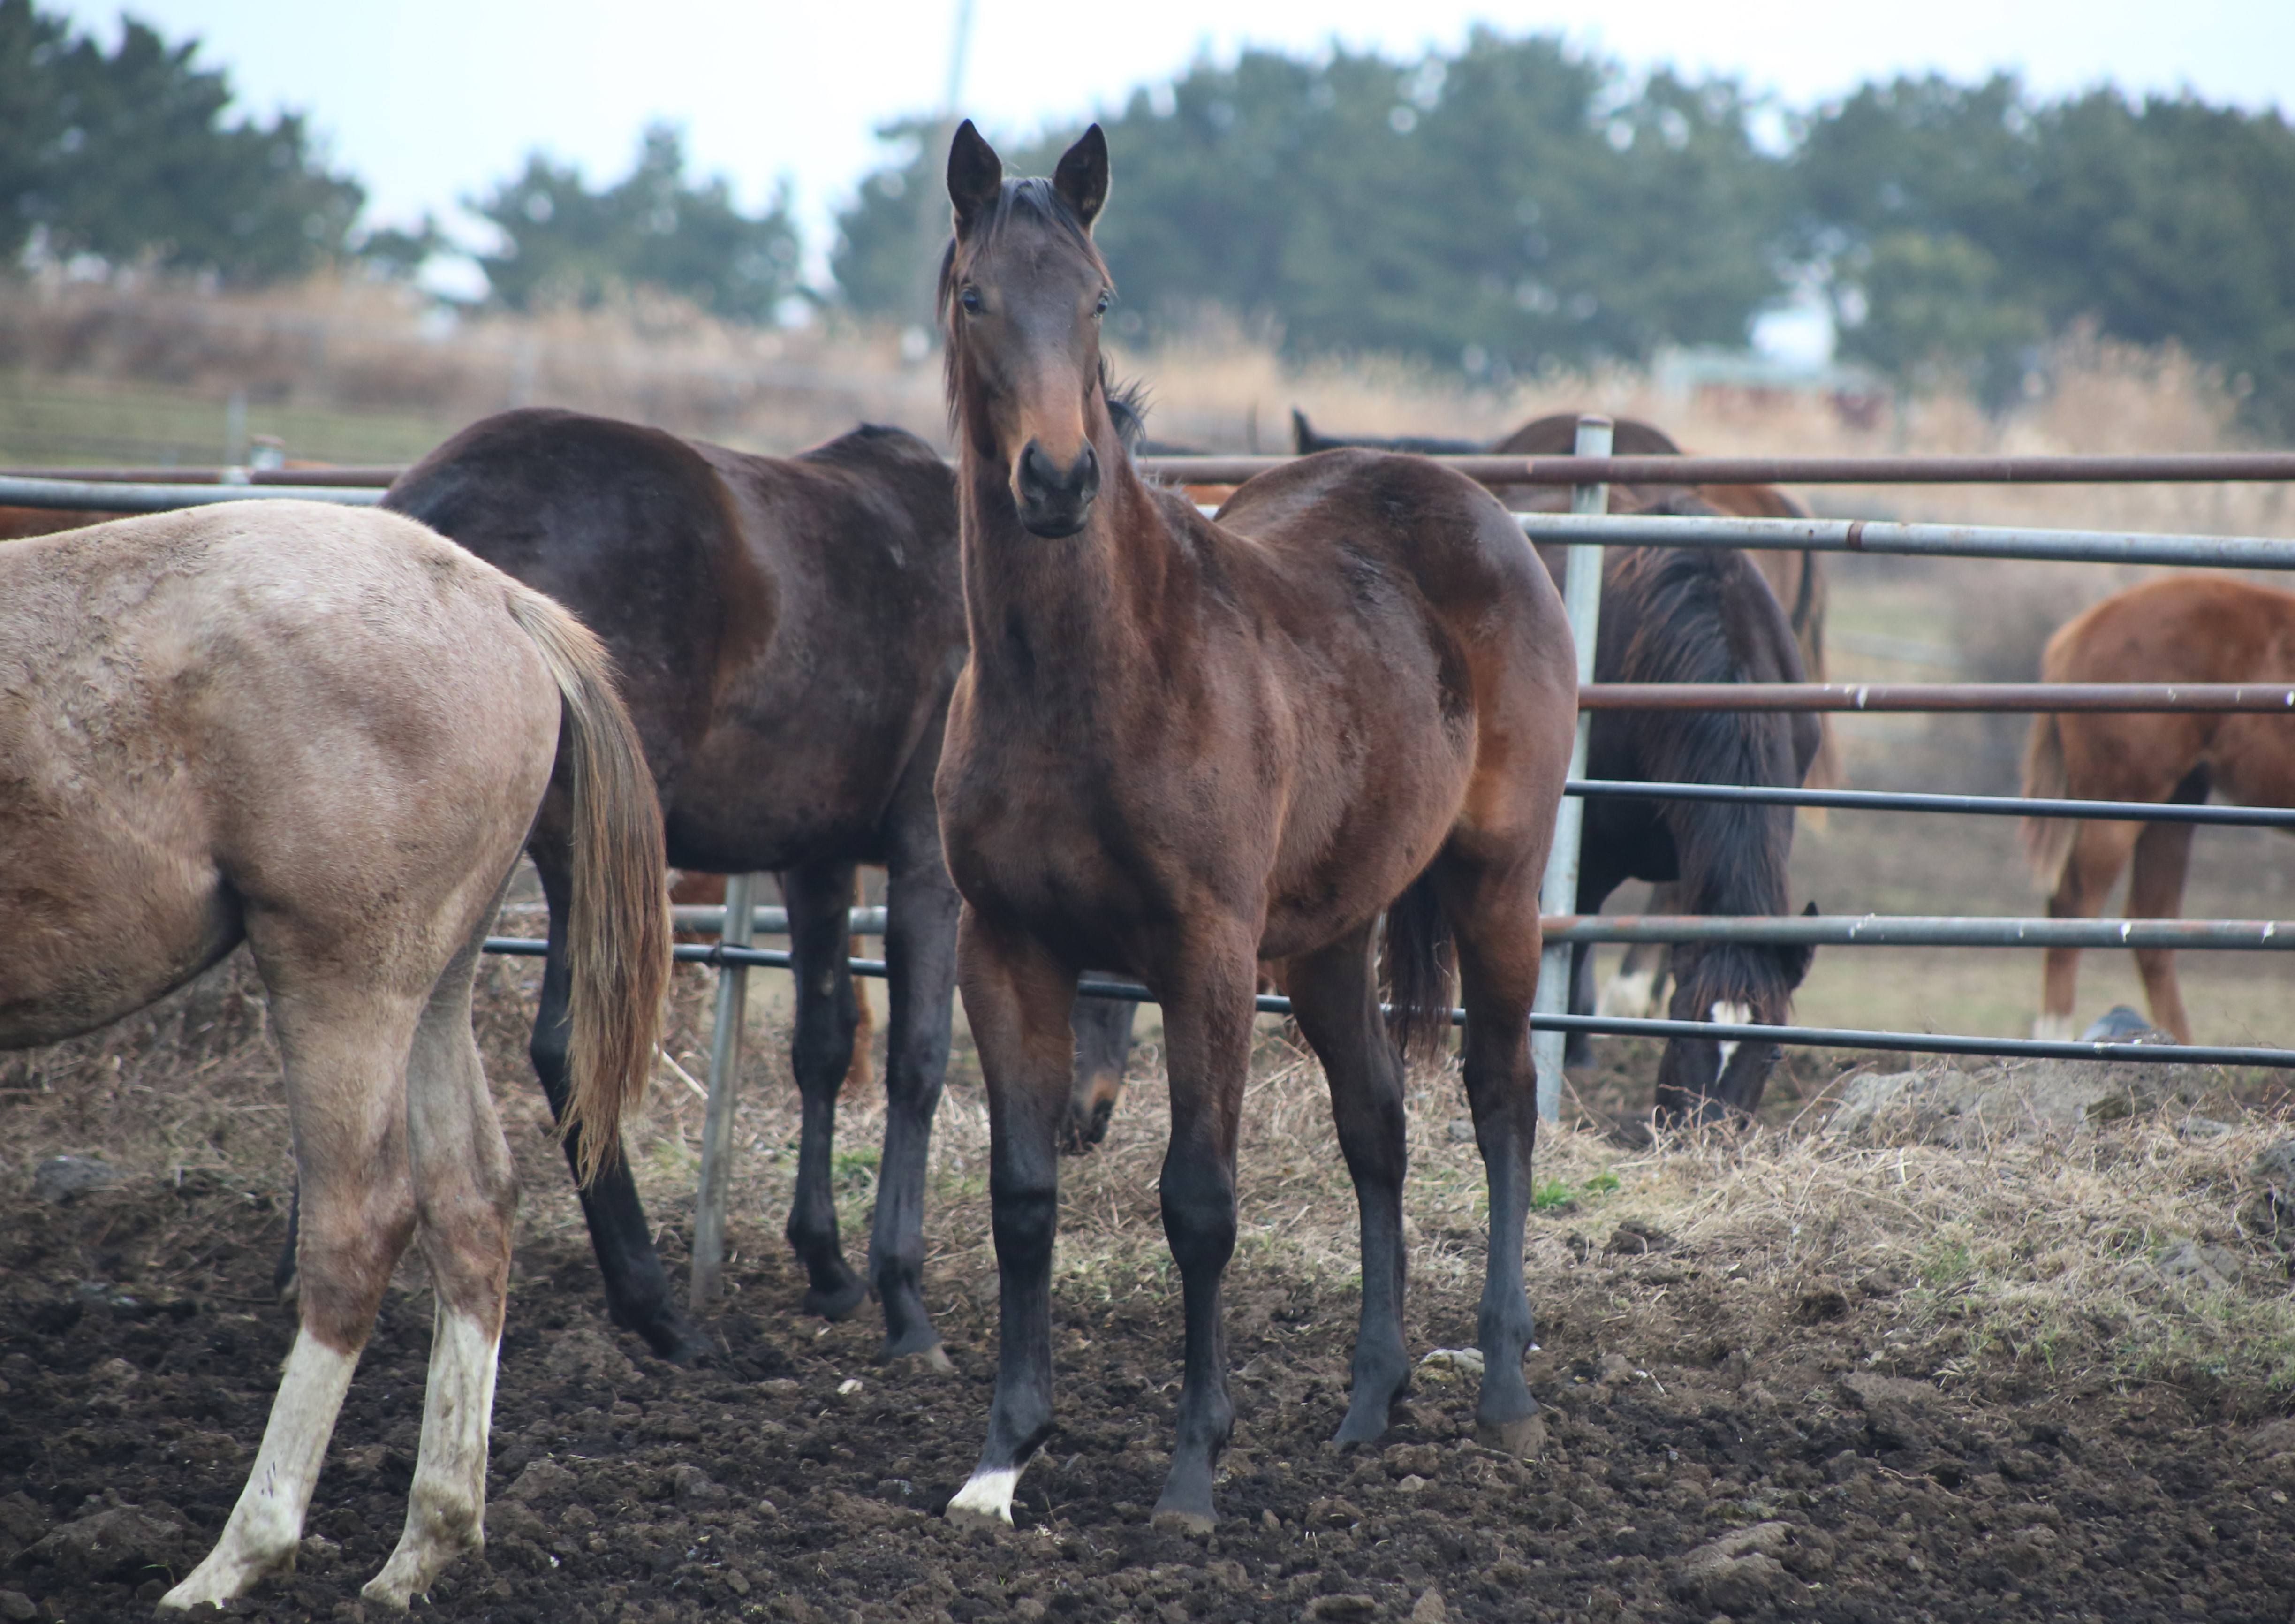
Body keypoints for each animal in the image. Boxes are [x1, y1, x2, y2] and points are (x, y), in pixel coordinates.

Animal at [0, 504, 670, 1615]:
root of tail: (502, 601)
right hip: (434, 988)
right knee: (472, 1200)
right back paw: (424, 1544)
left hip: (341, 983)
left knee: (360, 1225)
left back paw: (240, 1554)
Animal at [932, 120, 1579, 1532]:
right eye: (976, 297)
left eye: (1099, 299)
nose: (1056, 478)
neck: (1083, 677)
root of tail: (1476, 506)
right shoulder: (1002, 947)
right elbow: (1022, 1194)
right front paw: (1003, 1454)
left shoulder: (1208, 954)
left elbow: (1199, 1201)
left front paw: (1189, 1474)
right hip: (1330, 935)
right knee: (1377, 1124)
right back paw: (1369, 1400)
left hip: (1495, 885)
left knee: (1501, 1097)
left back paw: (1506, 1392)